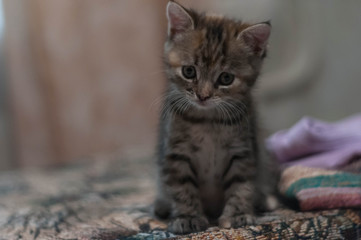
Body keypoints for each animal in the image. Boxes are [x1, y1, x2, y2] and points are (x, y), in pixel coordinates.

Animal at [153, 0, 274, 234]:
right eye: (189, 71)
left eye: (226, 78)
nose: (203, 95)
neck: (207, 120)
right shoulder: (176, 153)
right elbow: (182, 187)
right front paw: (188, 216)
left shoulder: (243, 150)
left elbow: (241, 184)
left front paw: (237, 215)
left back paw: (263, 201)